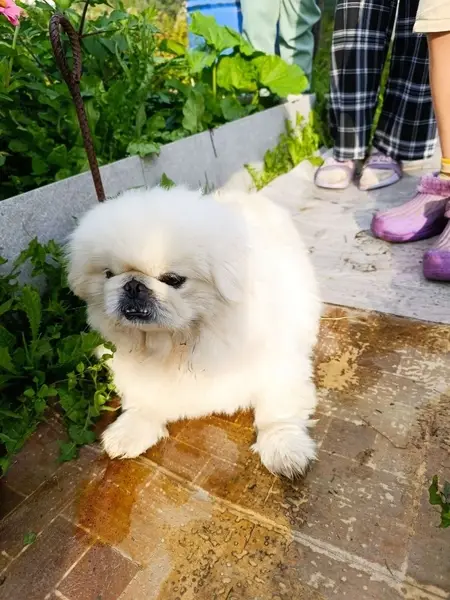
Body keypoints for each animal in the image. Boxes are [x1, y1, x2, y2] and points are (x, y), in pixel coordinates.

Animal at [67, 185, 321, 477]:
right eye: (108, 274)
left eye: (173, 280)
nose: (132, 285)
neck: (180, 340)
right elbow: (143, 398)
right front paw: (131, 429)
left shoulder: (280, 366)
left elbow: (277, 411)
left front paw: (283, 448)